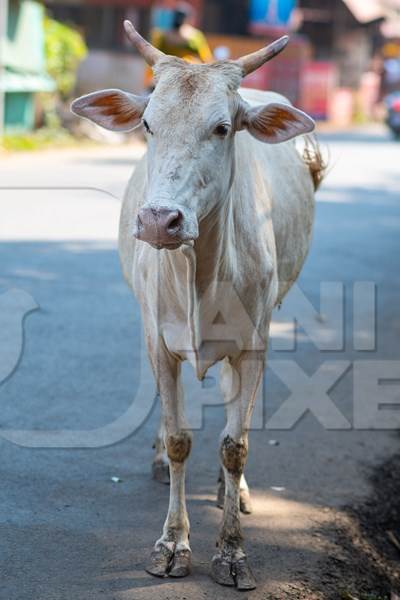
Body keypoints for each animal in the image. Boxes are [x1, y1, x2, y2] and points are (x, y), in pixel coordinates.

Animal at [71, 22, 322, 592]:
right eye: (147, 123)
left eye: (223, 128)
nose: (158, 221)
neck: (199, 271)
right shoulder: (158, 342)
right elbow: (179, 436)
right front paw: (171, 545)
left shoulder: (254, 343)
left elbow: (234, 444)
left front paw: (231, 551)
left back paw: (238, 491)